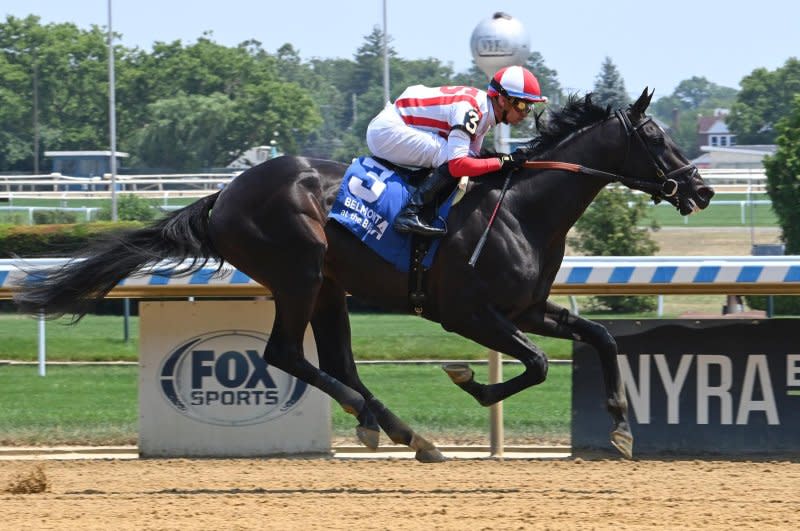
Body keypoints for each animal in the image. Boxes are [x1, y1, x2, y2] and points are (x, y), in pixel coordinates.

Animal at [12, 87, 712, 462]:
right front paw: (467, 380)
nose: (702, 189)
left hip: (328, 286)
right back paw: (373, 417)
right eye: (656, 138)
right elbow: (536, 364)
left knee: (335, 361)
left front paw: (620, 428)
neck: (520, 210)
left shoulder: (526, 309)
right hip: (296, 274)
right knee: (284, 354)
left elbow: (603, 338)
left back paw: (399, 429)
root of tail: (225, 195)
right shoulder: (468, 313)